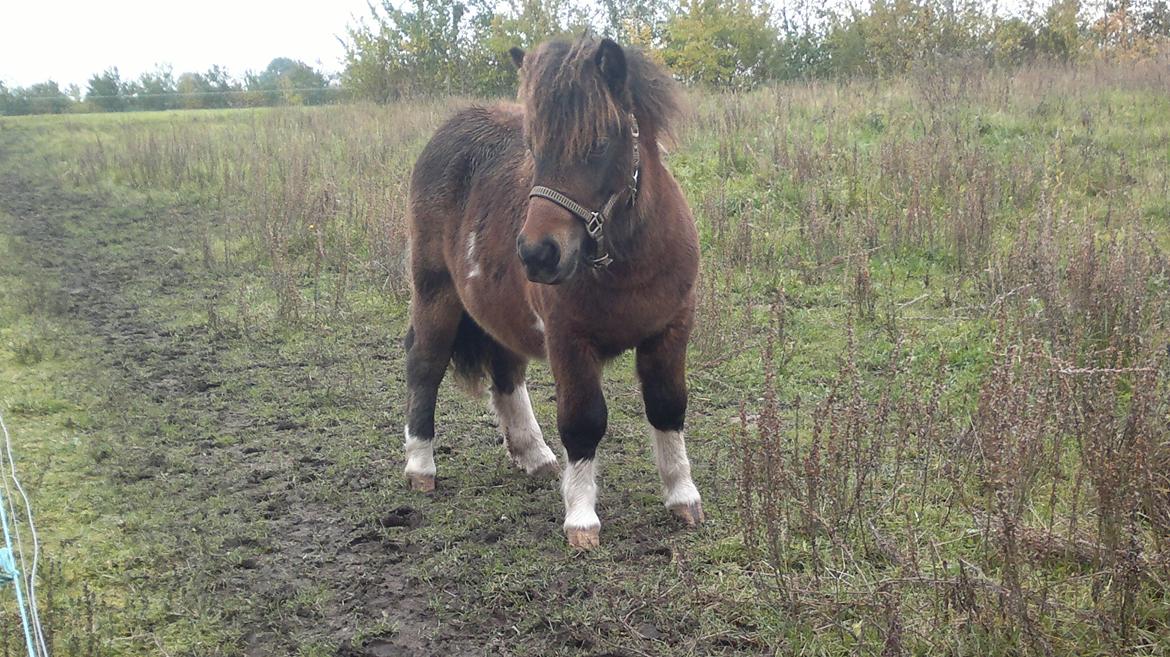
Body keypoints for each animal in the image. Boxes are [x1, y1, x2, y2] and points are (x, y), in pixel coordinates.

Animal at [402, 35, 697, 547]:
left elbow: (668, 406)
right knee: (425, 364)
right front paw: (581, 519)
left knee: (506, 373)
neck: (630, 264)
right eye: (533, 147)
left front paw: (682, 497)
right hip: (435, 293)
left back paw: (533, 454)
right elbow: (583, 420)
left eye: (598, 145)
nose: (537, 253)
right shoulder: (568, 342)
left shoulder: (670, 330)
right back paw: (421, 464)